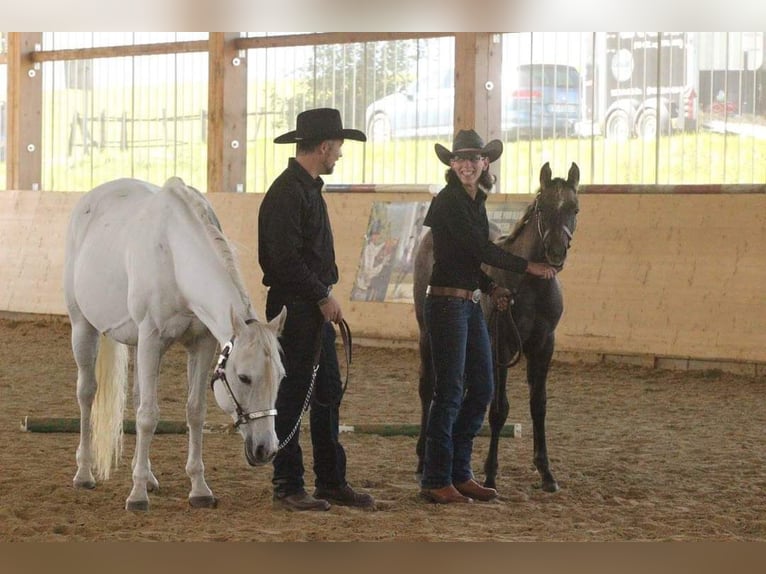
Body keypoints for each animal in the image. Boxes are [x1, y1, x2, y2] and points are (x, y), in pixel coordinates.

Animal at [64, 177, 286, 512]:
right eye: (244, 377)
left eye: (281, 378)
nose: (266, 449)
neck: (174, 256)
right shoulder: (151, 338)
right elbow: (148, 417)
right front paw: (137, 495)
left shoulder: (201, 344)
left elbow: (194, 412)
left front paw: (199, 489)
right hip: (83, 328)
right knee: (87, 394)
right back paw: (84, 473)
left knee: (138, 397)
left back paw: (148, 476)